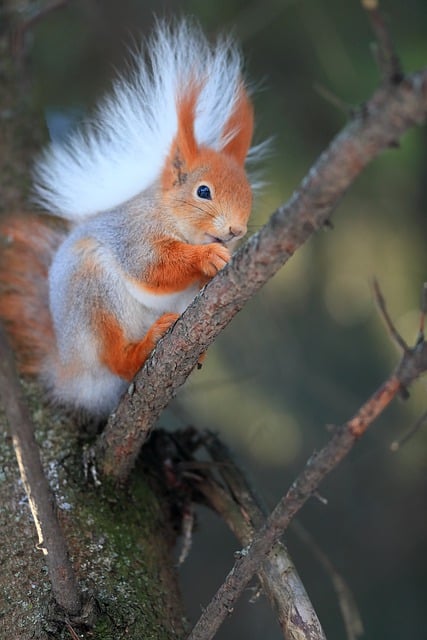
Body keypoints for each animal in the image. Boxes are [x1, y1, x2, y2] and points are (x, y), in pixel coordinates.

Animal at [0, 18, 260, 416]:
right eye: (203, 192)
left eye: (249, 195)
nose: (236, 230)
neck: (168, 213)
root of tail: (69, 370)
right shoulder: (133, 232)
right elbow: (151, 266)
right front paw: (206, 257)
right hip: (94, 294)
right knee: (114, 357)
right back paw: (141, 348)